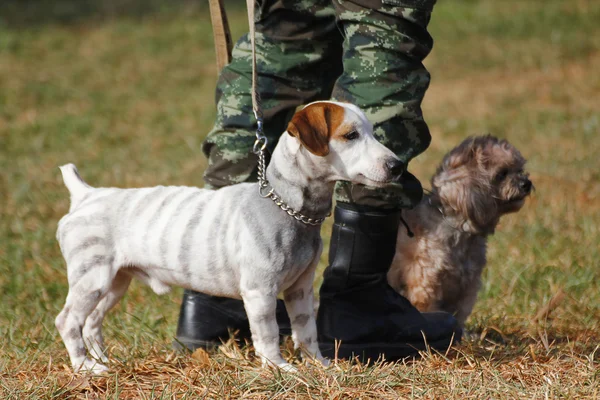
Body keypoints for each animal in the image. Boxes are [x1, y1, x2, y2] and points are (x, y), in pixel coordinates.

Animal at [56, 99, 406, 372]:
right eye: (350, 135)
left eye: (371, 132)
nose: (398, 166)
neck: (285, 205)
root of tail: (86, 195)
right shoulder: (260, 293)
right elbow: (267, 334)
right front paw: (279, 368)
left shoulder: (300, 289)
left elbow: (306, 330)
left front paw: (319, 366)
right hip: (92, 279)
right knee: (68, 321)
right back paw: (85, 368)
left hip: (115, 283)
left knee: (92, 322)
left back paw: (104, 361)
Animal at [386, 135, 532, 328]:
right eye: (501, 174)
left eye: (520, 169)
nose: (527, 183)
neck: (458, 229)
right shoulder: (425, 284)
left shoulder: (467, 287)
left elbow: (459, 314)